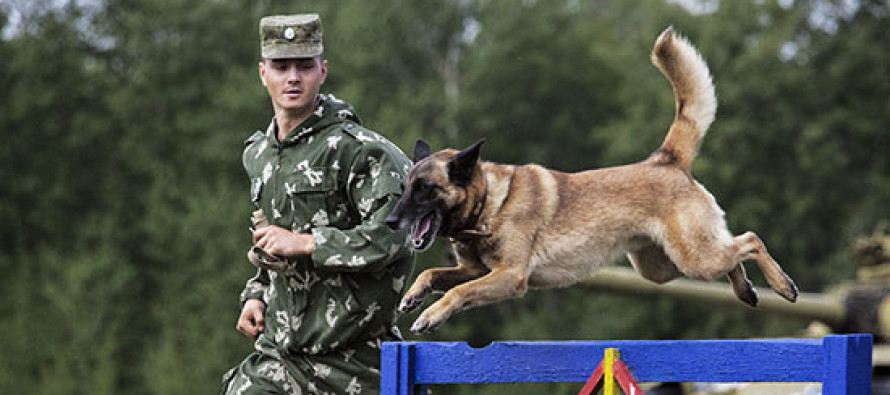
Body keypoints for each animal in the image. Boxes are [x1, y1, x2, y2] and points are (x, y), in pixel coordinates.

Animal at [382, 27, 796, 334]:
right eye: (404, 188)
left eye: (425, 189)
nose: (389, 221)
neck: (489, 206)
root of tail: (666, 159)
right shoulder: (477, 270)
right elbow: (435, 273)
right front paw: (413, 296)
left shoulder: (509, 276)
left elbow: (459, 292)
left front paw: (430, 315)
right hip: (662, 268)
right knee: (733, 254)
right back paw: (746, 291)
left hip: (694, 257)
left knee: (749, 241)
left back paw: (782, 286)